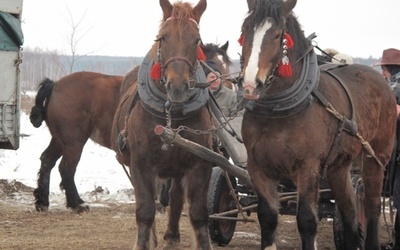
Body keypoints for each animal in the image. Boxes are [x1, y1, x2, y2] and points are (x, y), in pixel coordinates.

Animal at [29, 71, 122, 212]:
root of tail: (55, 85)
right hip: (74, 143)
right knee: (66, 168)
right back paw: (77, 203)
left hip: (59, 141)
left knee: (47, 160)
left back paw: (42, 201)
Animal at [111, 0, 214, 250]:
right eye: (163, 37)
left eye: (197, 40)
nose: (177, 87)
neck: (171, 115)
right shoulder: (141, 163)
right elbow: (145, 209)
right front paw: (143, 243)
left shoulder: (201, 163)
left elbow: (198, 213)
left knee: (175, 196)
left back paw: (171, 236)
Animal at [238, 0, 396, 249]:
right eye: (245, 30)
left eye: (277, 35)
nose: (251, 85)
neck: (278, 111)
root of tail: (378, 77)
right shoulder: (257, 166)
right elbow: (268, 216)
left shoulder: (308, 166)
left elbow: (306, 220)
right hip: (338, 167)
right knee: (349, 209)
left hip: (377, 156)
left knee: (371, 206)